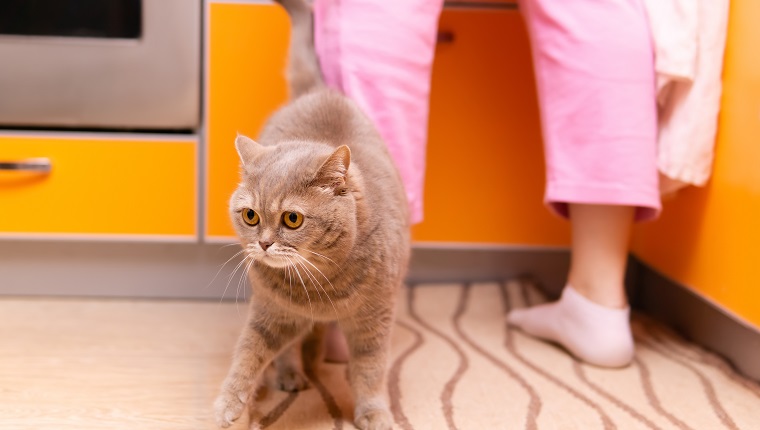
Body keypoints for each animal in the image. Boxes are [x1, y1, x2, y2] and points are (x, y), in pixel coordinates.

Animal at [214, 0, 410, 430]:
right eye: (250, 216)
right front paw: (229, 404)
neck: (321, 286)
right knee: (288, 348)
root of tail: (319, 90)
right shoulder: (271, 313)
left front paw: (374, 412)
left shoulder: (375, 318)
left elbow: (371, 369)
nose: (263, 243)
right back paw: (291, 374)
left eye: (292, 219)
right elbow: (247, 354)